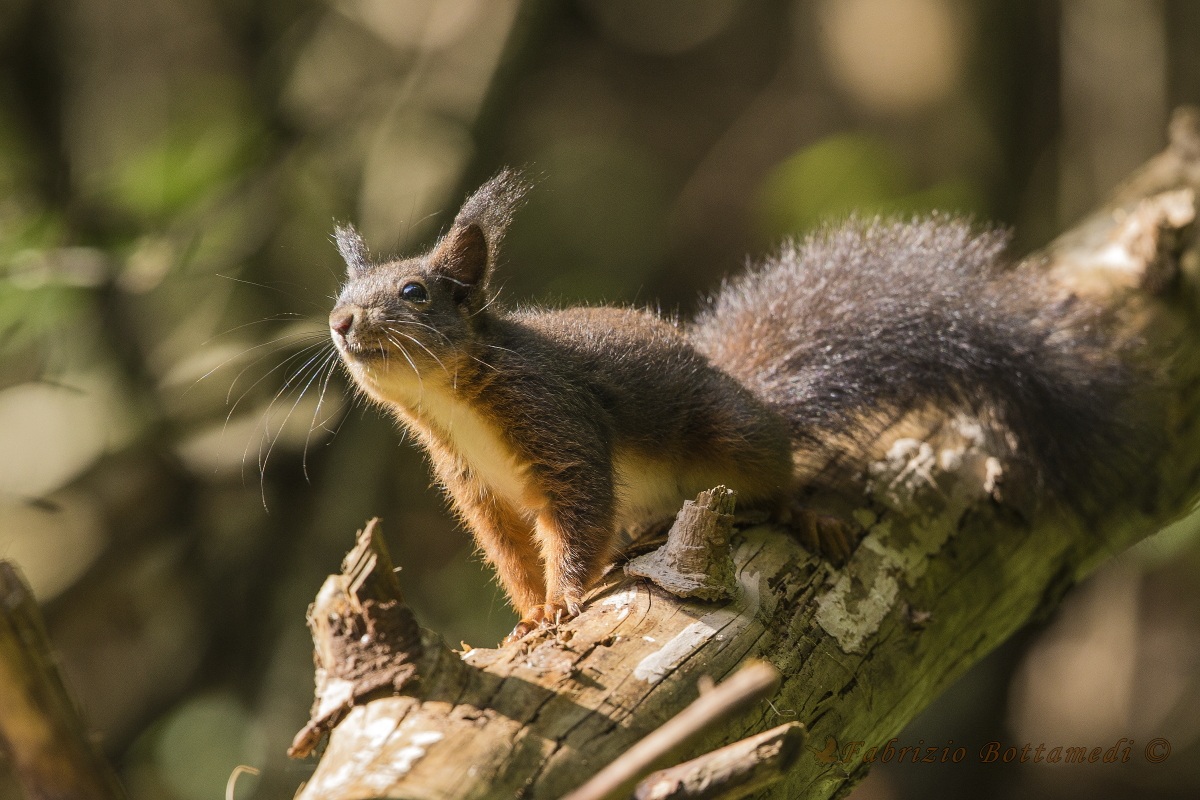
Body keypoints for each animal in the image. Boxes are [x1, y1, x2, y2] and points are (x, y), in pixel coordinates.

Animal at [328, 169, 1134, 641]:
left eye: (414, 293)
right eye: (341, 293)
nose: (339, 323)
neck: (454, 407)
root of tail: (757, 397)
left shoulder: (558, 421)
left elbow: (580, 520)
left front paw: (561, 602)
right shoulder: (477, 487)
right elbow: (511, 552)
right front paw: (529, 615)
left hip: (734, 438)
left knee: (777, 477)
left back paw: (805, 513)